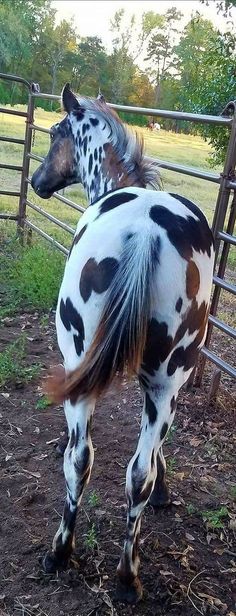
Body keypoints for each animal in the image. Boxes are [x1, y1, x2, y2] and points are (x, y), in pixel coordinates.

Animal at [30, 84, 214, 604]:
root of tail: (146, 231)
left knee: (79, 462)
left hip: (81, 362)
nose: (35, 180)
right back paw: (128, 576)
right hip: (166, 383)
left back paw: (61, 553)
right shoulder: (161, 387)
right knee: (136, 476)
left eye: (56, 133)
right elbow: (152, 454)